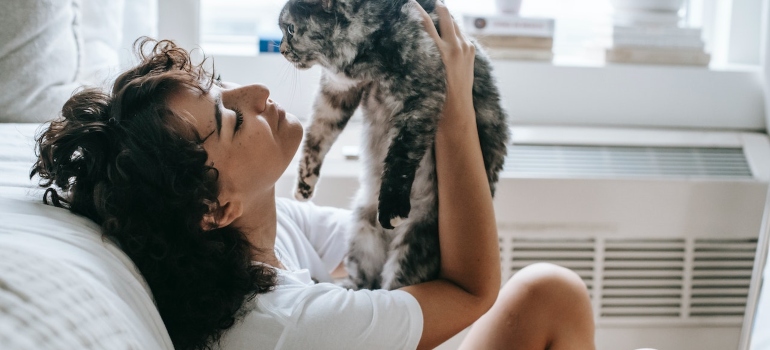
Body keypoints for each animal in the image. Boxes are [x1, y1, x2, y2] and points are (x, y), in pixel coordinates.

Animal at [280, 0, 508, 290]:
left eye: (289, 29)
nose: (281, 49)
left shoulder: (422, 97)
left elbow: (401, 156)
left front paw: (391, 206)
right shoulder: (335, 92)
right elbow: (317, 136)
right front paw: (304, 184)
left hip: (413, 245)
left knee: (392, 286)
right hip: (361, 232)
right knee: (366, 285)